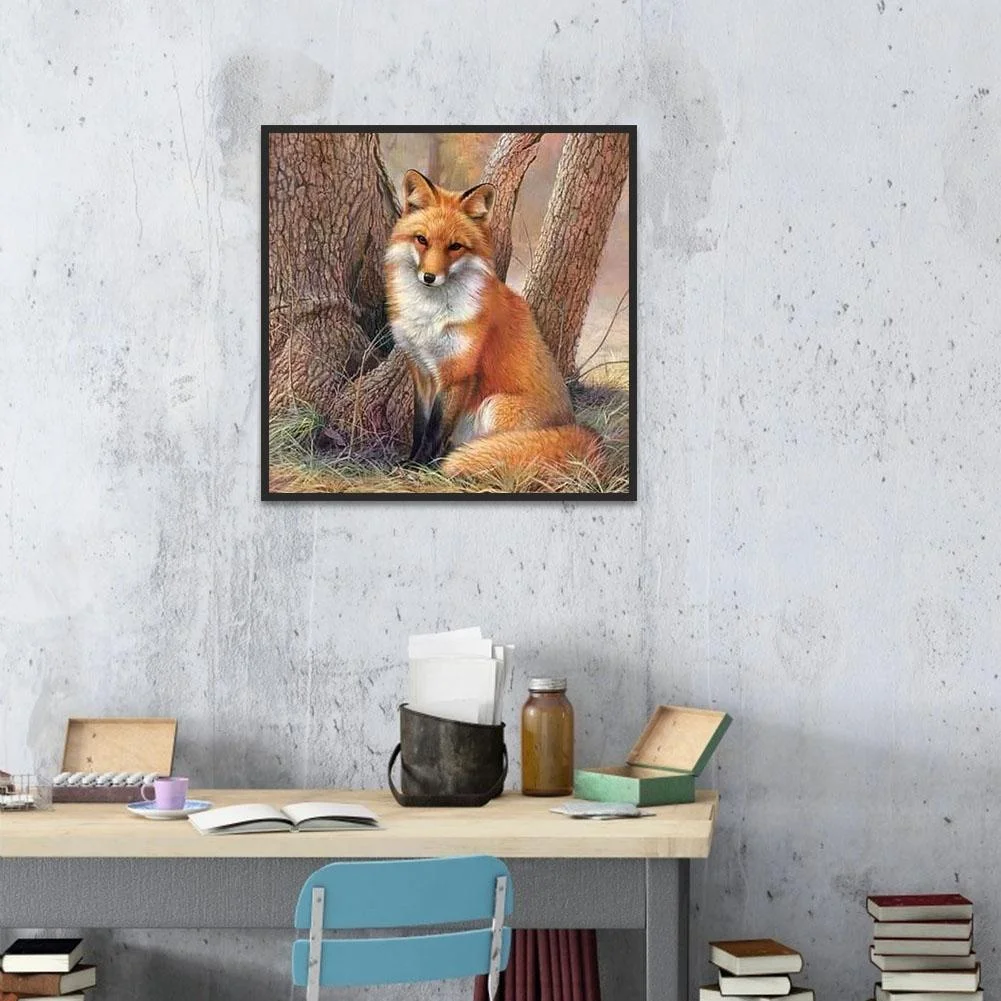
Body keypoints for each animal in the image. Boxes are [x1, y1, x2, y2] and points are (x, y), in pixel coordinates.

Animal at [383, 168, 602, 485]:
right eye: (421, 240)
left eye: (455, 246)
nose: (429, 277)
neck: (430, 316)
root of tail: (573, 426)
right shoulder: (421, 371)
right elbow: (420, 426)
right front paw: (411, 460)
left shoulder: (457, 374)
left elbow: (435, 430)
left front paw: (422, 467)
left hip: (495, 406)